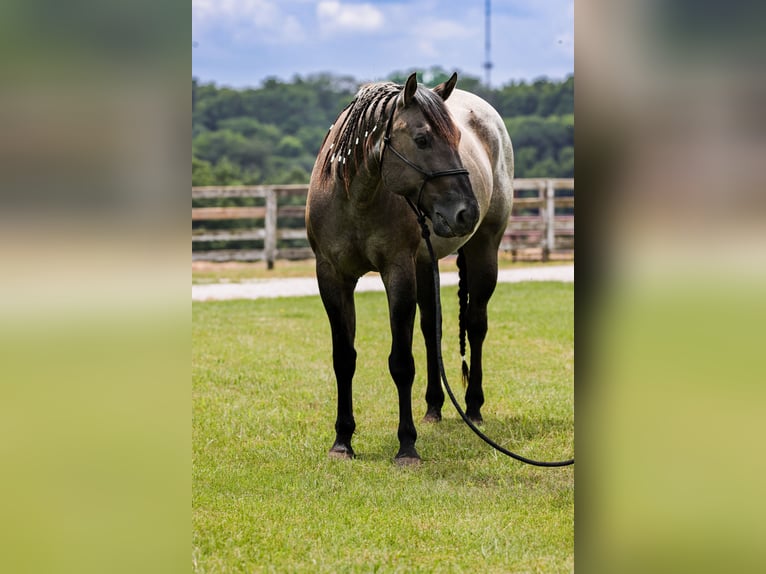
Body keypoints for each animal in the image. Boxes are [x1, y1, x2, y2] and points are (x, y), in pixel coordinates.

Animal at [306, 72, 514, 465]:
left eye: (458, 139)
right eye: (421, 139)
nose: (467, 212)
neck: (355, 197)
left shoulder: (398, 273)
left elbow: (401, 362)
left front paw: (406, 446)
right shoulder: (332, 277)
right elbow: (344, 359)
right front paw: (342, 440)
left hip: (483, 251)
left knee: (476, 325)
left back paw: (473, 406)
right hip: (425, 264)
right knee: (433, 329)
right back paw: (433, 408)